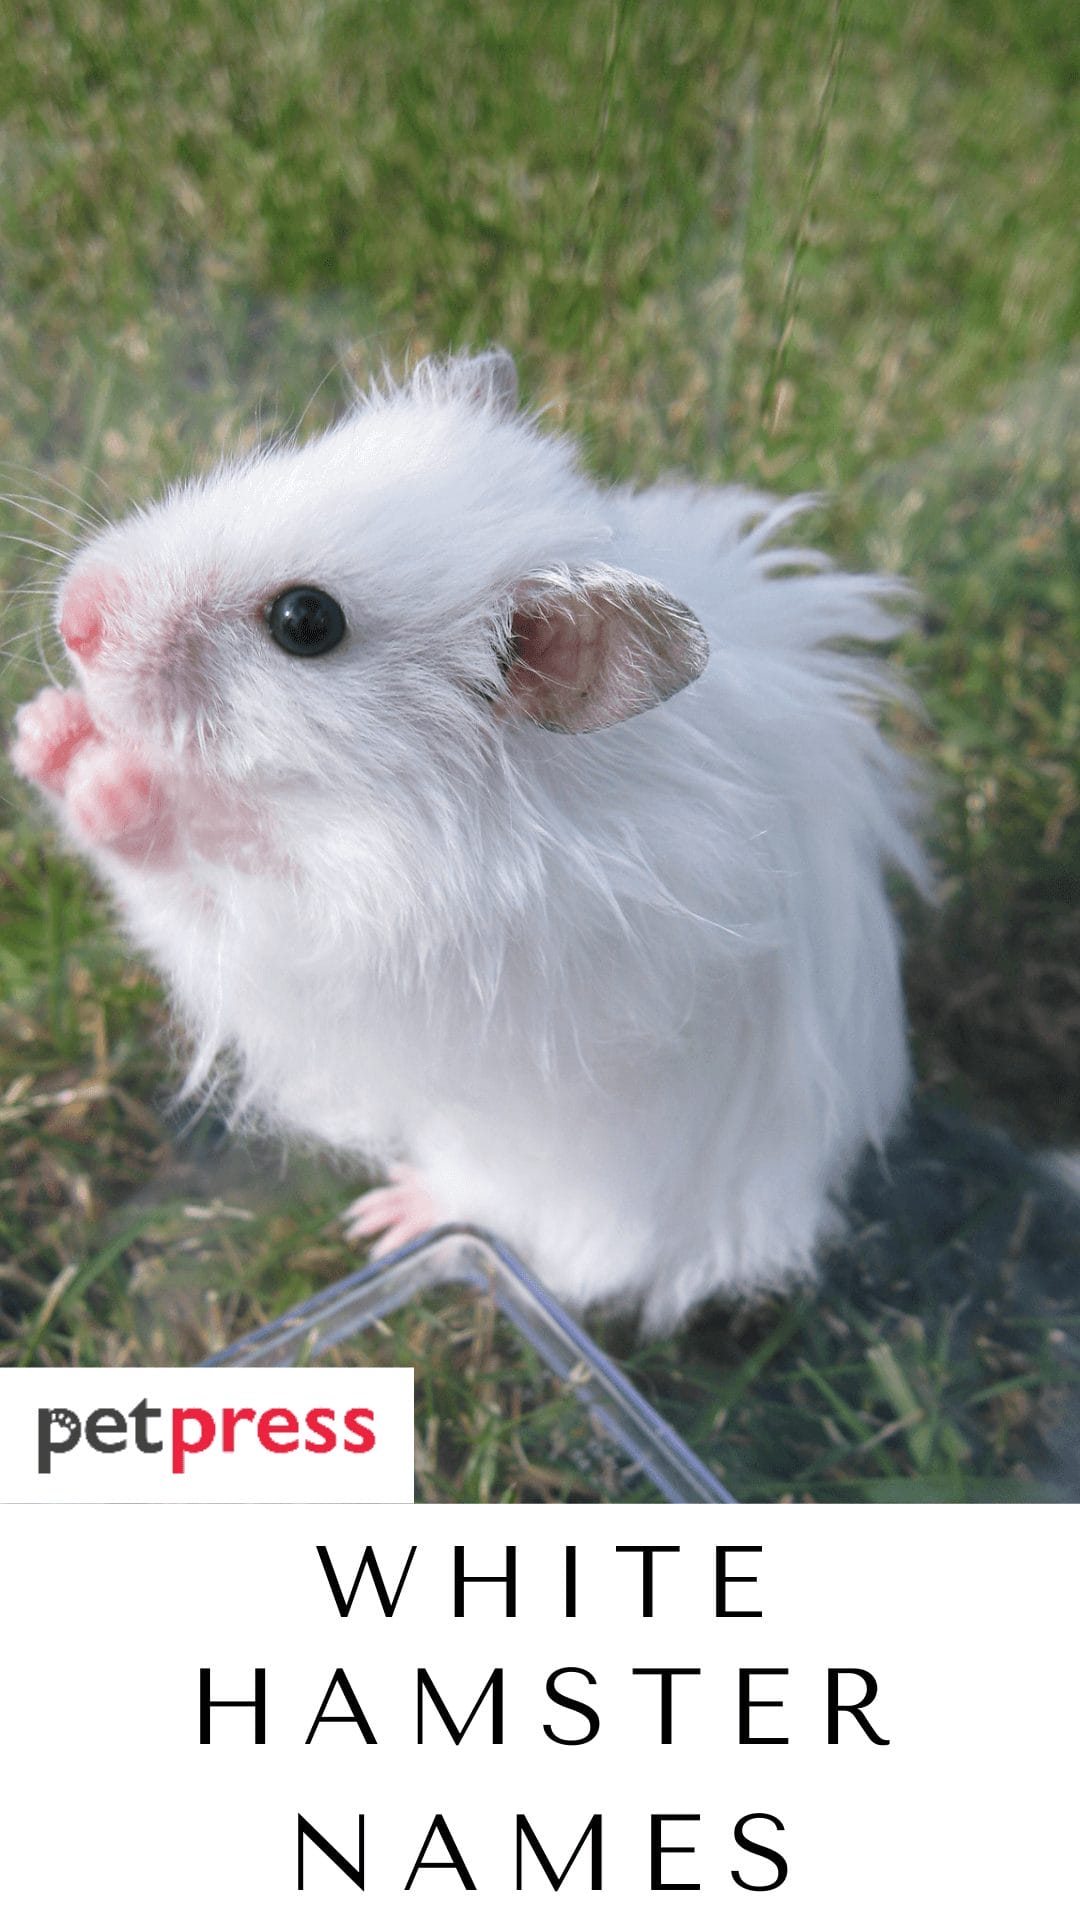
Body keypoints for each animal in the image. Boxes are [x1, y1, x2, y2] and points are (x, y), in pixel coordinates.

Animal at [11, 348, 927, 1331]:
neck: (367, 800)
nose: (73, 615)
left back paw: (389, 1218)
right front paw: (44, 726)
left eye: (306, 622)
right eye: (270, 462)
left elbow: (186, 872)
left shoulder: (346, 941)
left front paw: (108, 779)